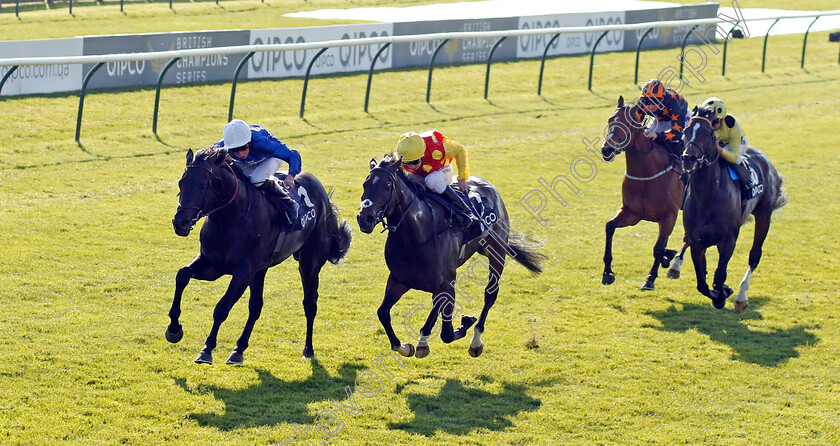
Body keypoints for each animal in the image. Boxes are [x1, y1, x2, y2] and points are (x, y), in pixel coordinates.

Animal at [169, 145, 352, 364]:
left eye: (203, 185)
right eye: (181, 182)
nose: (180, 222)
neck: (231, 217)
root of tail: (322, 194)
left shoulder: (243, 272)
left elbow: (222, 307)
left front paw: (206, 349)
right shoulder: (213, 265)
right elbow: (182, 275)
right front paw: (174, 329)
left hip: (309, 264)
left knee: (310, 304)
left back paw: (308, 349)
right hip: (260, 270)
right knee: (256, 306)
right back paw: (238, 350)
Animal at [354, 157, 544, 358]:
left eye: (388, 186)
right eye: (365, 184)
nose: (365, 218)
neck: (416, 234)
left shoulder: (446, 282)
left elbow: (446, 333)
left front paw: (467, 322)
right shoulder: (400, 279)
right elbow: (383, 313)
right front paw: (405, 346)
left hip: (497, 251)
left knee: (490, 294)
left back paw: (475, 341)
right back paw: (424, 341)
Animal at [596, 96, 688, 290]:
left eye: (628, 123)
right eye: (610, 120)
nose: (606, 149)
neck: (647, 171)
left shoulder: (669, 215)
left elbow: (658, 248)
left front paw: (650, 278)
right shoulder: (633, 213)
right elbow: (609, 226)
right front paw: (607, 272)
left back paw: (674, 266)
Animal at [684, 106, 788, 312]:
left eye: (707, 133)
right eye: (685, 131)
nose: (688, 158)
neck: (708, 195)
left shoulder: (728, 239)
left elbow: (719, 275)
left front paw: (723, 294)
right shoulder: (697, 242)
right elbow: (702, 283)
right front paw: (721, 293)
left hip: (764, 215)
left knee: (755, 255)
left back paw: (741, 296)